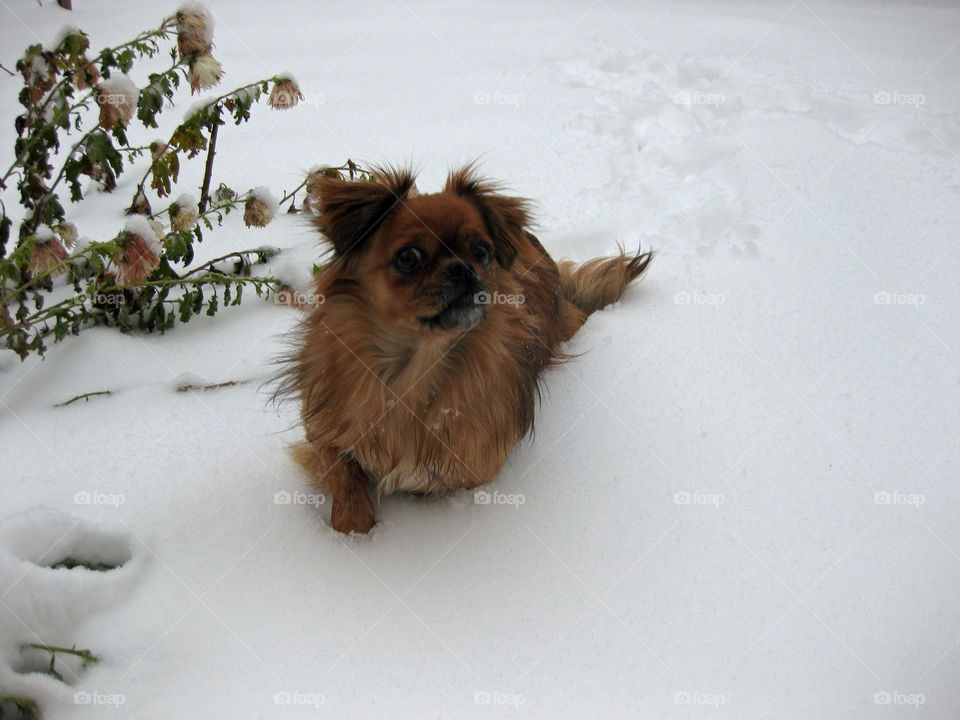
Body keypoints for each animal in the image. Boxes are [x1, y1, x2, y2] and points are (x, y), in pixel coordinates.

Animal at [282, 166, 648, 532]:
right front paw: (352, 529)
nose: (463, 268)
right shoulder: (324, 430)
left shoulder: (471, 471)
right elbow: (342, 472)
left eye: (481, 252)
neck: (412, 368)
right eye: (408, 257)